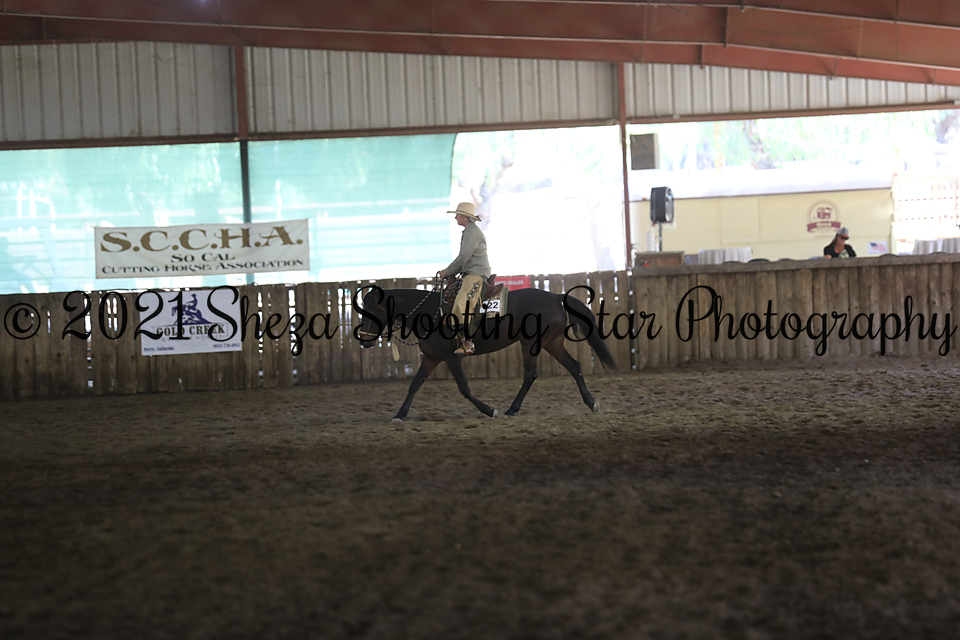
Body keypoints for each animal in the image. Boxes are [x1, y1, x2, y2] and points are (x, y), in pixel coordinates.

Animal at [355, 283, 618, 421]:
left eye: (370, 310)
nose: (364, 340)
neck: (430, 313)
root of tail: (555, 296)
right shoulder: (431, 358)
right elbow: (414, 384)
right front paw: (400, 414)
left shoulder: (451, 357)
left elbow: (464, 388)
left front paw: (490, 410)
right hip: (552, 342)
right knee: (574, 366)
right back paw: (591, 403)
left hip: (531, 343)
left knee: (531, 374)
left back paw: (512, 409)